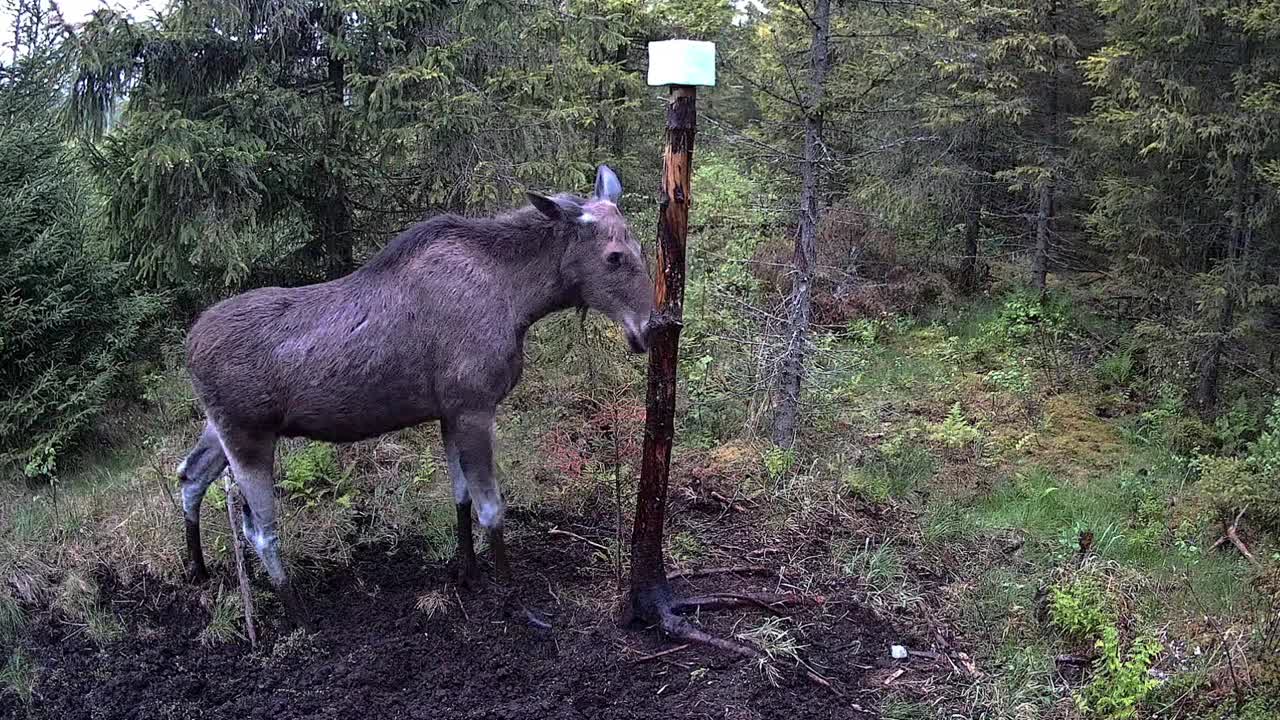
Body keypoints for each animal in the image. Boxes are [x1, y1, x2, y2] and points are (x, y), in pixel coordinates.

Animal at [175, 165, 650, 625]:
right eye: (614, 256)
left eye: (641, 247)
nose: (652, 327)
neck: (521, 302)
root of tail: (188, 348)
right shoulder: (475, 406)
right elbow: (491, 508)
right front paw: (515, 601)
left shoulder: (450, 411)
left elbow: (459, 494)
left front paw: (467, 572)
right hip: (249, 436)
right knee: (259, 529)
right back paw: (296, 612)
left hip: (220, 428)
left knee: (189, 474)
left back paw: (197, 568)